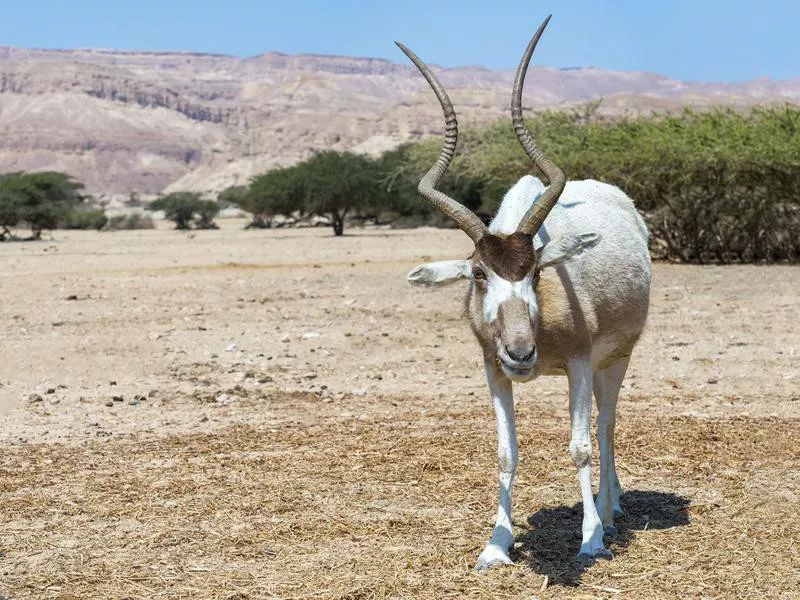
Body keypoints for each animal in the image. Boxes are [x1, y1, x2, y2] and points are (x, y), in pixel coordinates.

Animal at [396, 12, 652, 568]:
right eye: (477, 274)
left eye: (535, 271)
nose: (521, 352)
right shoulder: (493, 370)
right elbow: (505, 452)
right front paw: (496, 544)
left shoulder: (578, 363)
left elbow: (579, 445)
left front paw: (590, 539)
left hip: (614, 359)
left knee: (605, 424)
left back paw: (610, 511)